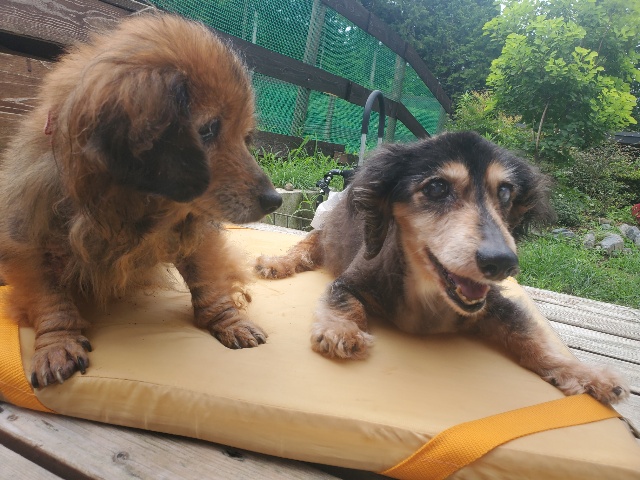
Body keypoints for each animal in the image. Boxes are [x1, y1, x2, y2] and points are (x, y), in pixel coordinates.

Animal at [0, 14, 282, 388]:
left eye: (244, 135)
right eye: (208, 130)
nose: (274, 201)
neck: (132, 205)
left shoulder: (192, 228)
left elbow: (208, 279)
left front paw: (229, 320)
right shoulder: (30, 237)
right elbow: (49, 296)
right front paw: (57, 344)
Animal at [256, 131, 629, 404]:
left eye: (505, 192)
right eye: (436, 187)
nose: (503, 262)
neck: (428, 293)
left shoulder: (495, 304)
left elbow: (532, 338)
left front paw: (586, 374)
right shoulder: (349, 282)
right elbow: (346, 303)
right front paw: (341, 332)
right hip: (323, 238)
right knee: (305, 247)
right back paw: (276, 263)